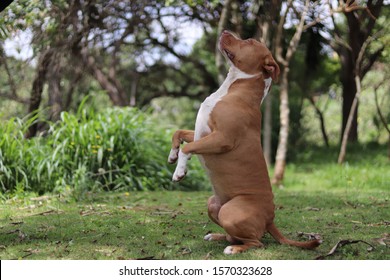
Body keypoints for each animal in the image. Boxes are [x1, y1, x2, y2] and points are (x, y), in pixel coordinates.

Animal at [167, 30, 320, 254]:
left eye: (249, 41)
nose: (225, 31)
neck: (234, 87)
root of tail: (270, 219)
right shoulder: (202, 133)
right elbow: (178, 133)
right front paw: (172, 154)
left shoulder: (222, 138)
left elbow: (189, 147)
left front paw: (179, 171)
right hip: (213, 204)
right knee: (235, 235)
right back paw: (217, 237)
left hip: (231, 212)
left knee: (257, 242)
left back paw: (234, 249)